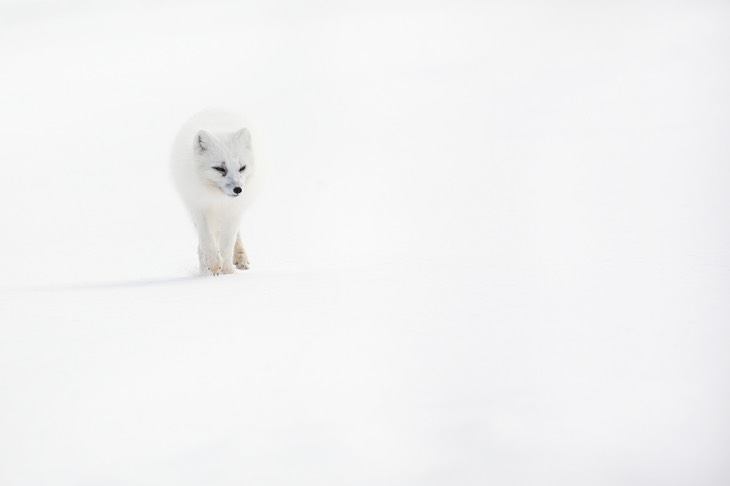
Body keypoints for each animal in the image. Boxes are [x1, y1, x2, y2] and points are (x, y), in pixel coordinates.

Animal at [171, 110, 258, 278]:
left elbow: (228, 243)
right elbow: (207, 239)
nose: (238, 189)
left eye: (242, 168)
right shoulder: (198, 207)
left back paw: (240, 258)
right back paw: (205, 268)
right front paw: (213, 264)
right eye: (219, 168)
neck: (217, 198)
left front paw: (227, 271)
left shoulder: (234, 211)